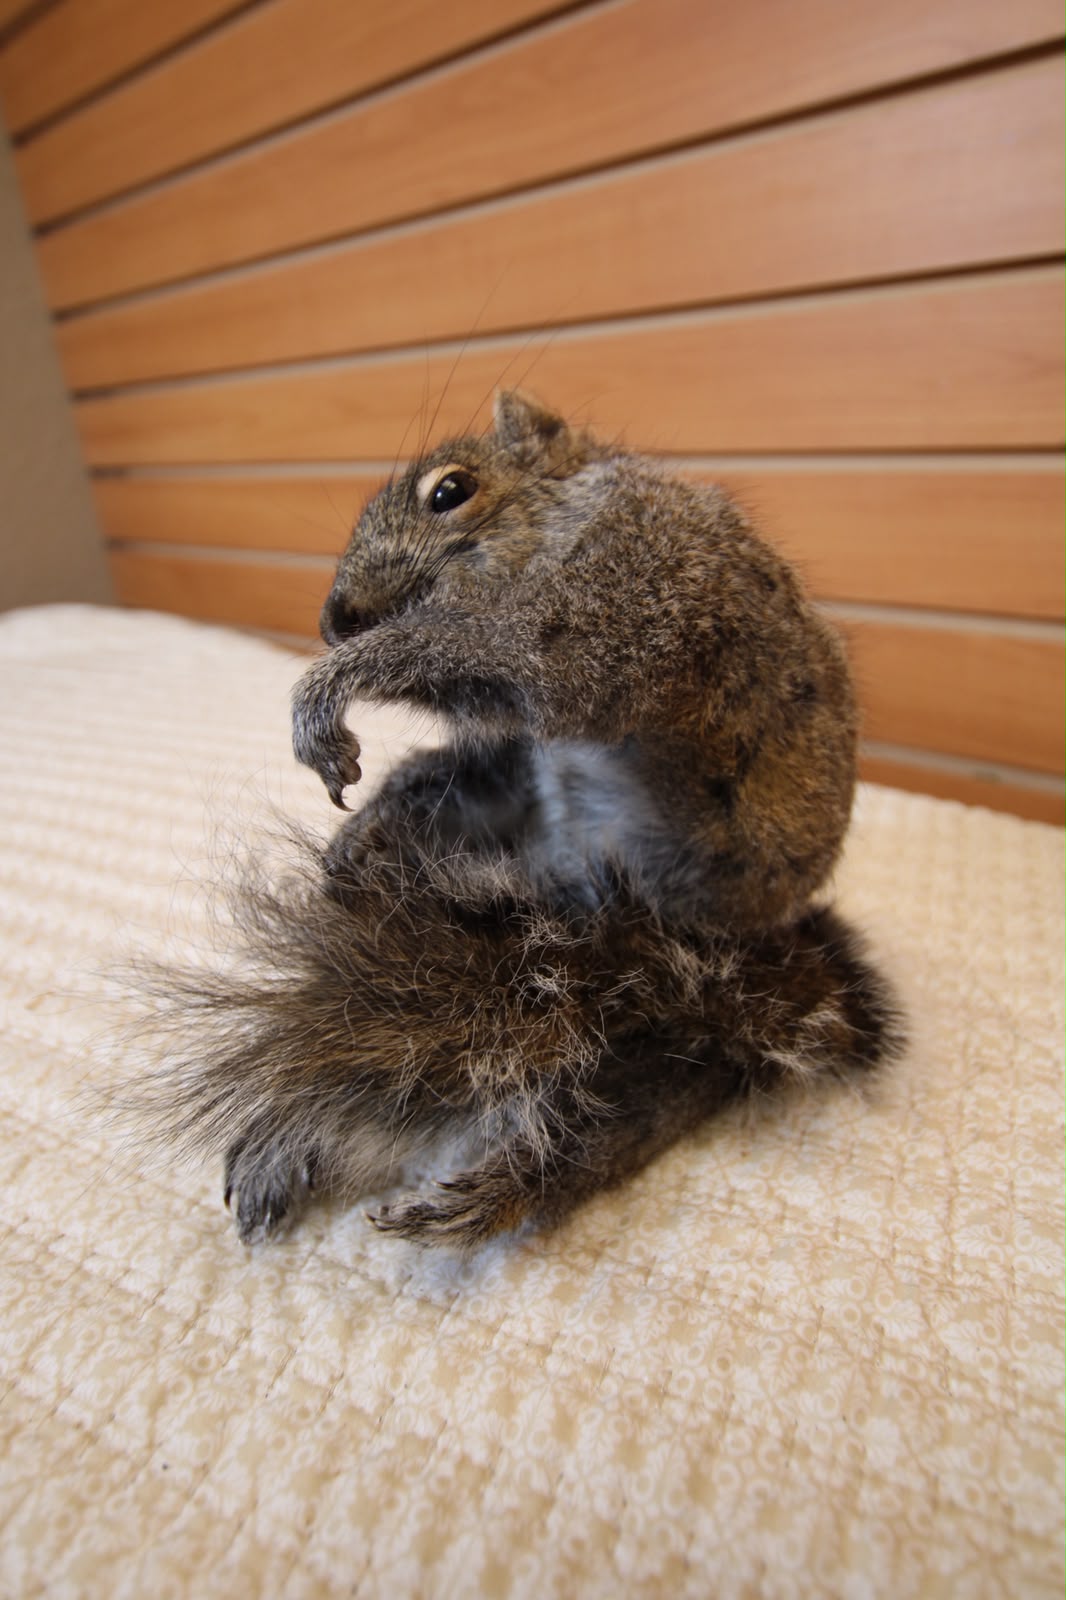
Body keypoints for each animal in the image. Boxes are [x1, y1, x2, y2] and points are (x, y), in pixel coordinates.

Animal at [133, 390, 901, 1249]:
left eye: (450, 491)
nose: (335, 619)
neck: (578, 509)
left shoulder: (638, 589)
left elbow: (524, 660)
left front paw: (327, 686)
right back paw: (370, 847)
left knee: (632, 1099)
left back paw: (510, 1175)